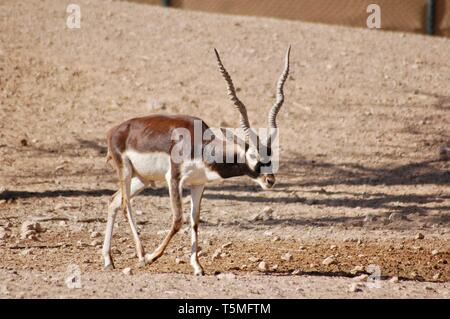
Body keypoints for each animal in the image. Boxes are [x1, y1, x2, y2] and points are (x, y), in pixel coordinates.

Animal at [102, 46, 292, 276]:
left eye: (270, 154)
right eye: (253, 155)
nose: (269, 180)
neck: (202, 147)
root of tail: (114, 131)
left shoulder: (198, 184)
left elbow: (194, 221)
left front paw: (197, 266)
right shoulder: (174, 178)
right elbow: (178, 220)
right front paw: (150, 257)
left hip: (143, 179)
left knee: (113, 201)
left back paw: (108, 260)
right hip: (126, 171)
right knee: (124, 205)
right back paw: (141, 254)